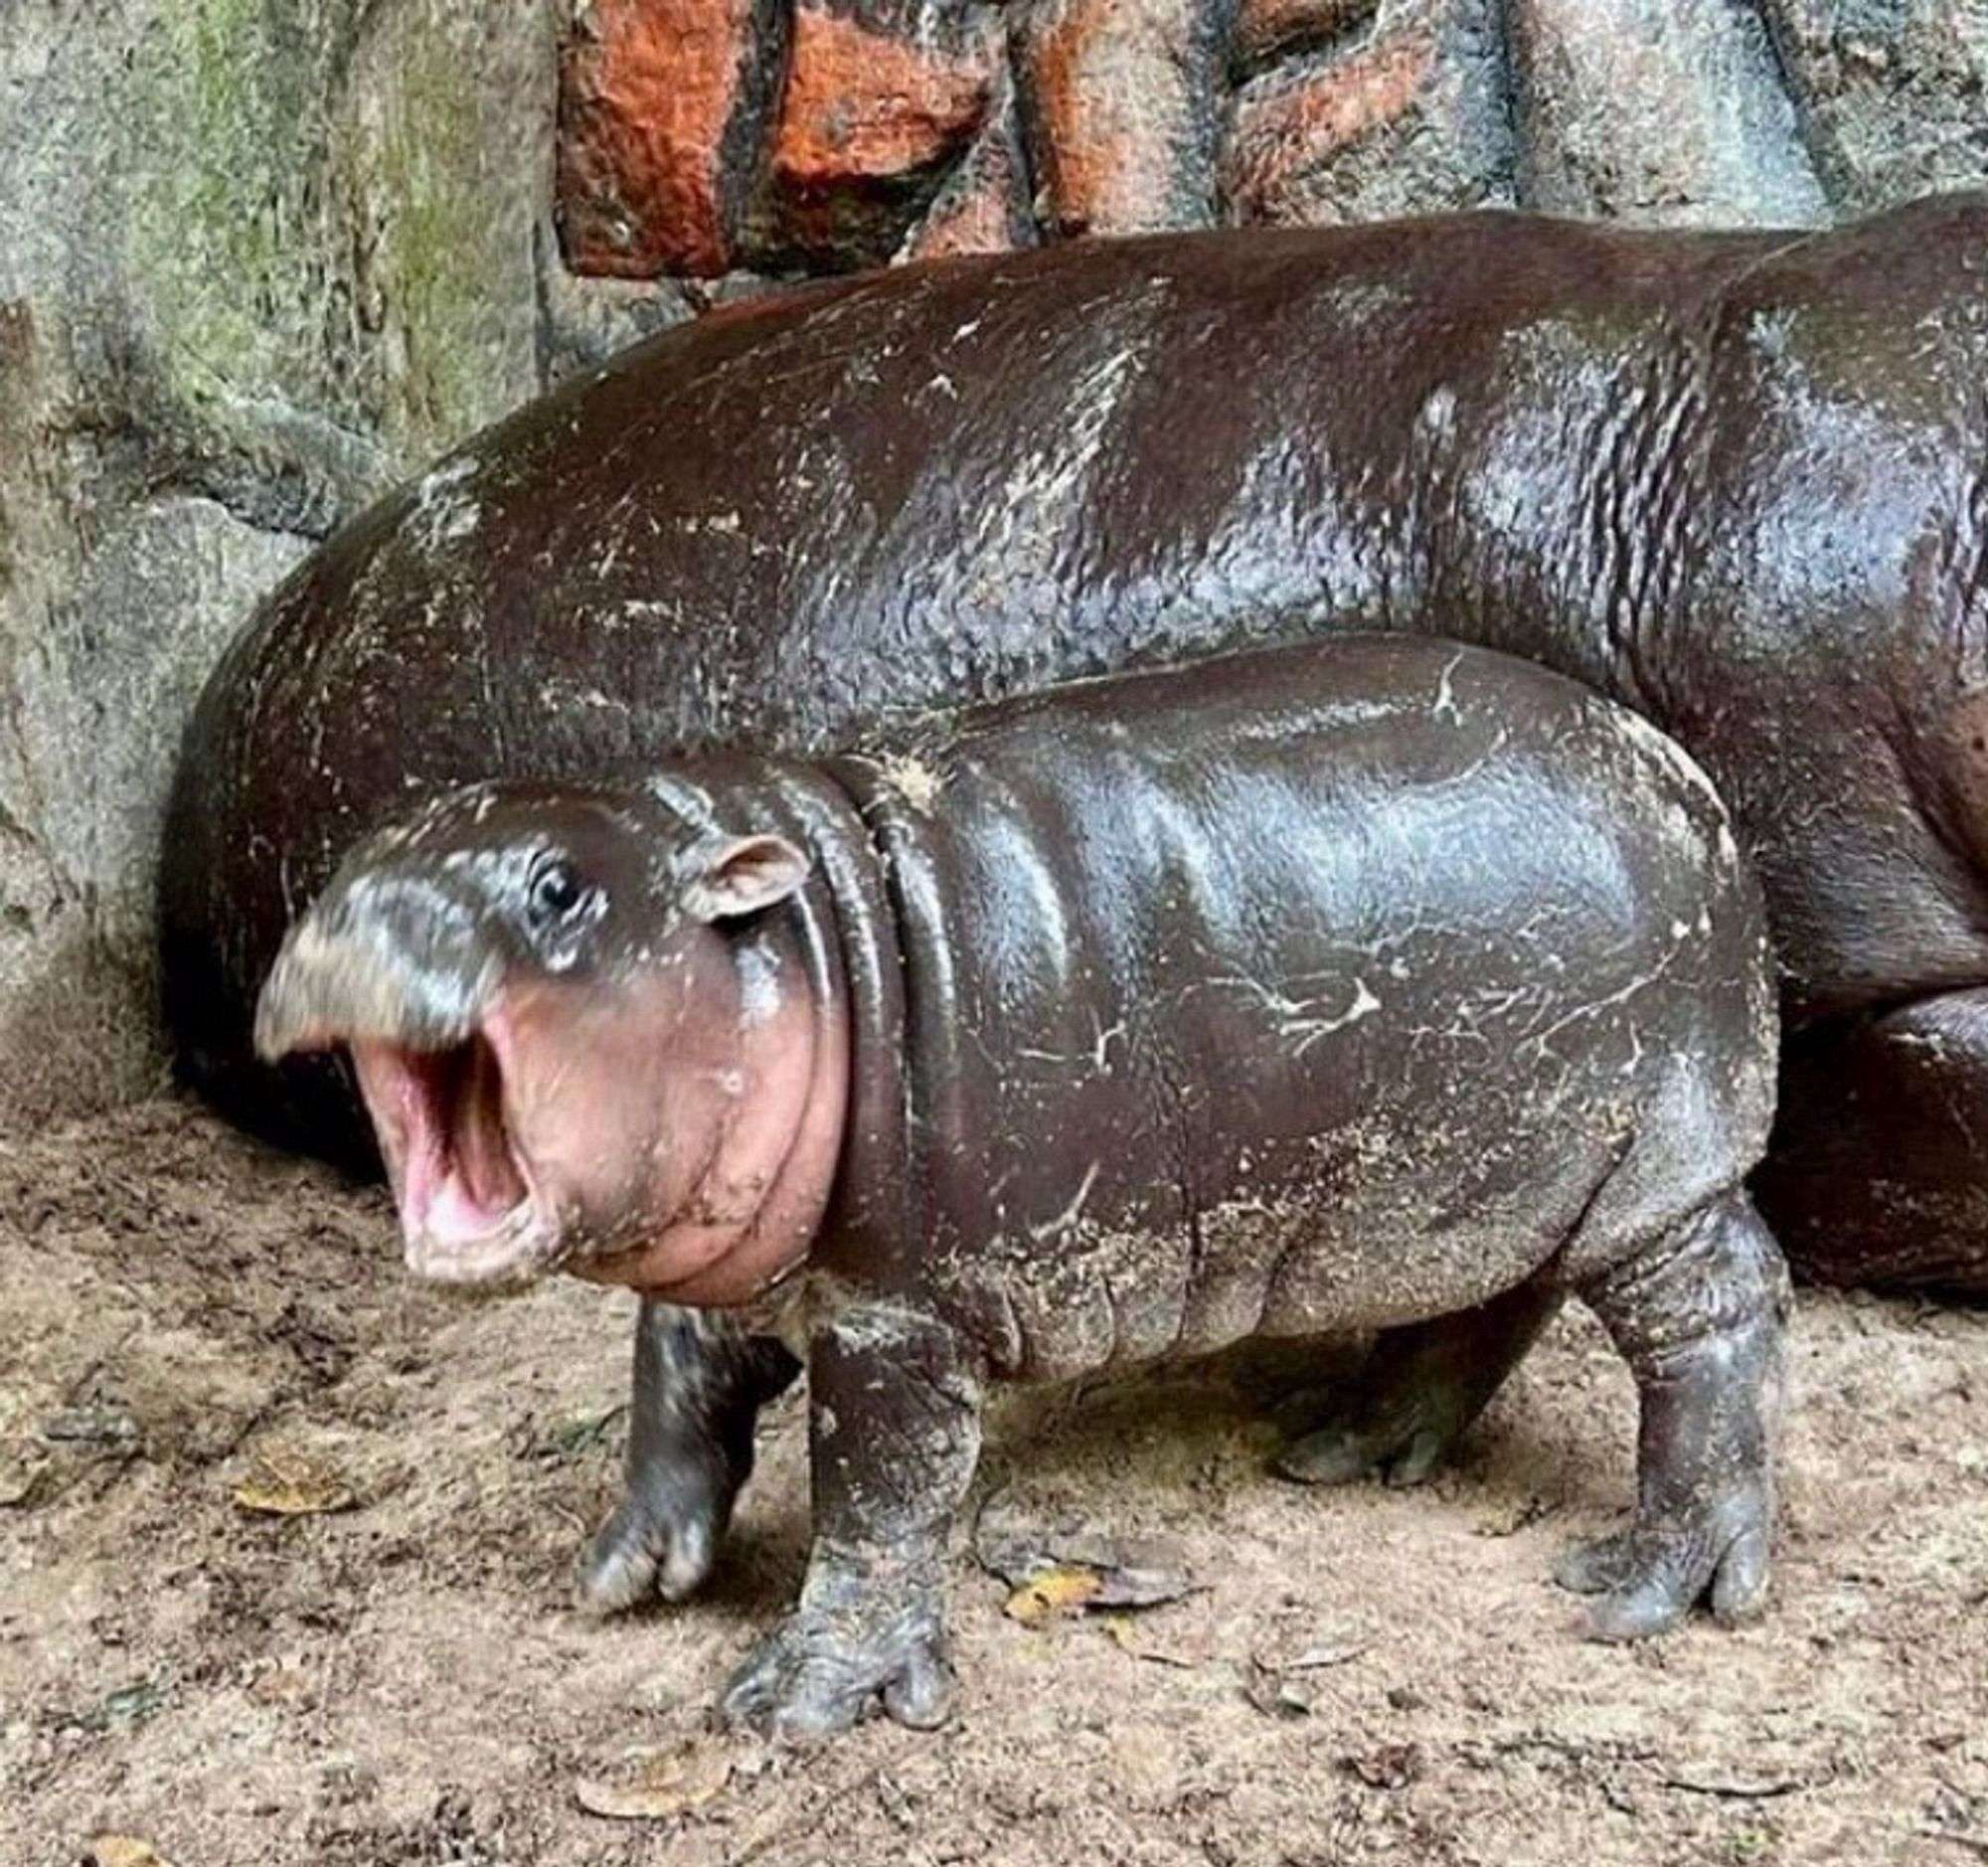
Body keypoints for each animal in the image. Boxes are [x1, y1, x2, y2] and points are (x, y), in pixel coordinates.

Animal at [256, 640, 1797, 1734]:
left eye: (559, 887)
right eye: (356, 857)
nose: (352, 921)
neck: (806, 946)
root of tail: (1688, 778)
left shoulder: (895, 1314)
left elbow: (882, 1492)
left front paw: (799, 1702)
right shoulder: (736, 1253)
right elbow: (676, 1384)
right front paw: (627, 1569)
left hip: (1653, 1166)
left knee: (1719, 1315)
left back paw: (1646, 1586)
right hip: (1469, 1181)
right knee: (1484, 1305)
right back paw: (1341, 1441)